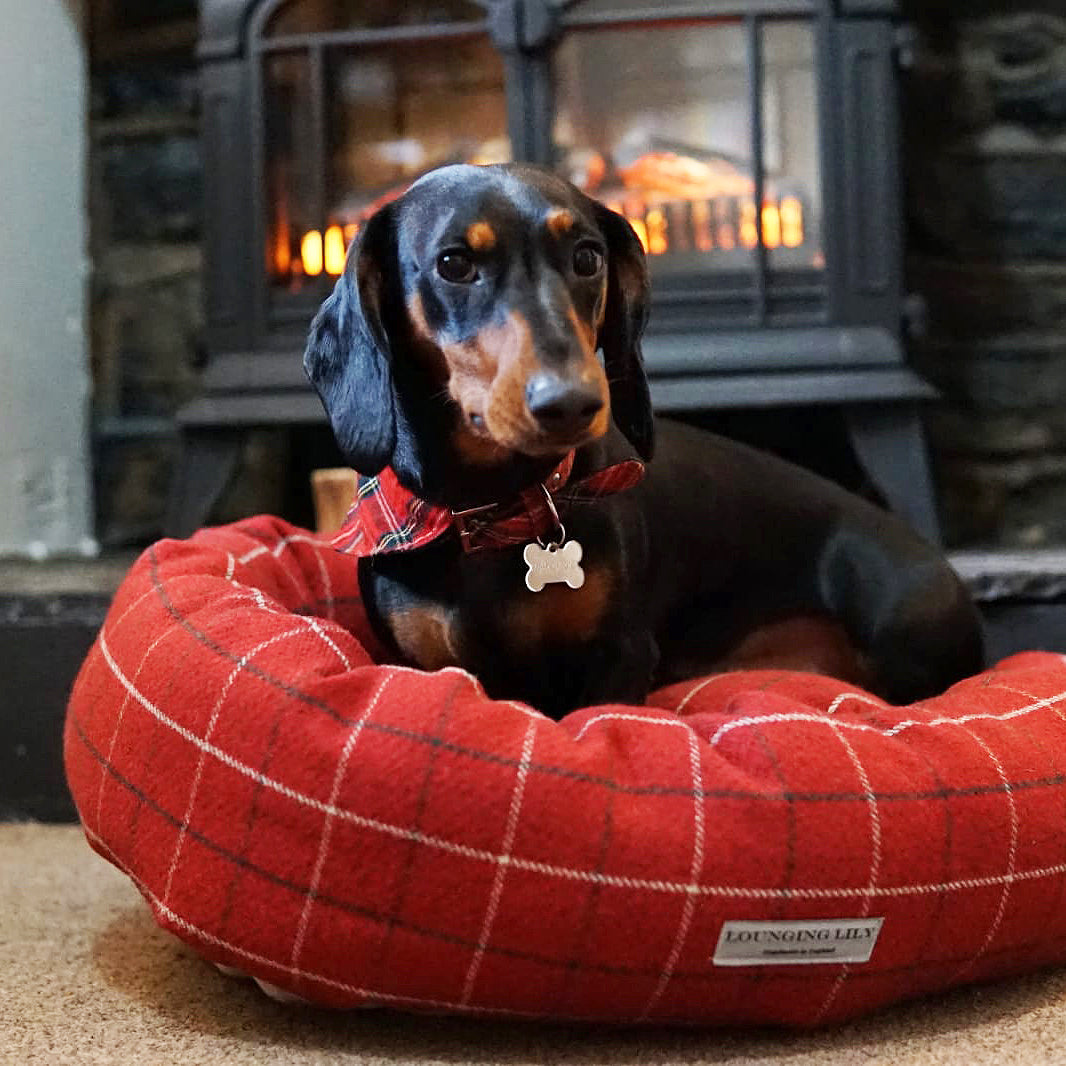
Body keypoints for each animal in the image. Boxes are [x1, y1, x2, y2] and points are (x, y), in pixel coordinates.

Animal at [302, 164, 980, 716]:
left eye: (587, 257)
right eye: (454, 264)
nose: (571, 404)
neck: (494, 511)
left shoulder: (620, 657)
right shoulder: (424, 663)